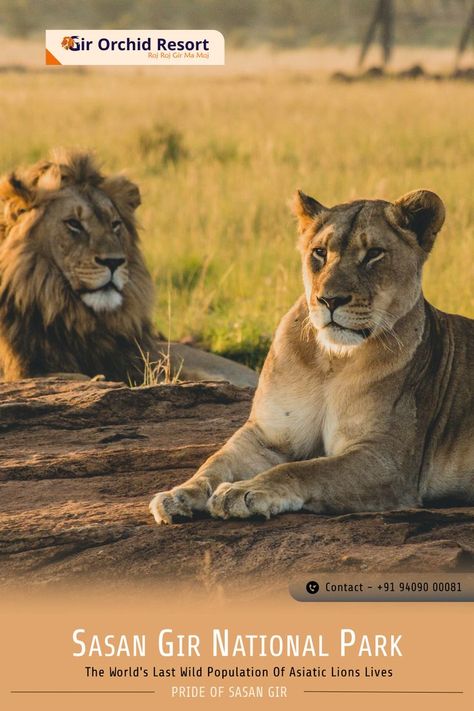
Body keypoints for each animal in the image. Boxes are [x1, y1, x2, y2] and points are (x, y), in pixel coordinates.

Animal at [151, 189, 474, 524]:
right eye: (320, 252)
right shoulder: (267, 433)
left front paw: (242, 491)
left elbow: (305, 469)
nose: (330, 300)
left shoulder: (387, 459)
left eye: (374, 253)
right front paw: (178, 495)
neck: (332, 361)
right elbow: (216, 461)